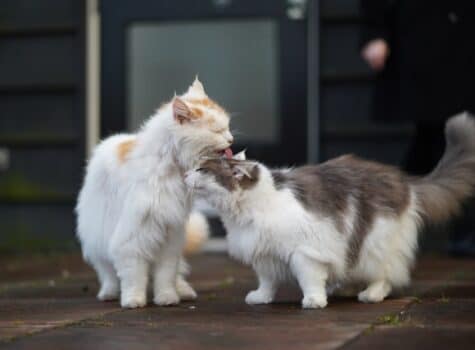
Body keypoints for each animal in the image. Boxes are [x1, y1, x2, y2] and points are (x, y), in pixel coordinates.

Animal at [76, 78, 232, 306]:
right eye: (217, 131)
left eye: (227, 128)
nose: (231, 139)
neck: (170, 166)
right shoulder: (131, 238)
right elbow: (134, 277)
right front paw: (133, 300)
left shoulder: (169, 237)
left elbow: (165, 276)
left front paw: (167, 298)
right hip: (100, 236)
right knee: (107, 273)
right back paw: (109, 293)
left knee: (178, 274)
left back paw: (183, 291)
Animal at [184, 113, 475, 308]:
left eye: (201, 169)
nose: (185, 174)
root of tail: (404, 180)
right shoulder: (265, 254)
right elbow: (267, 281)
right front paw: (261, 298)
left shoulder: (304, 251)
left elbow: (309, 279)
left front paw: (314, 300)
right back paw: (339, 287)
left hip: (374, 244)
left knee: (386, 274)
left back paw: (370, 295)